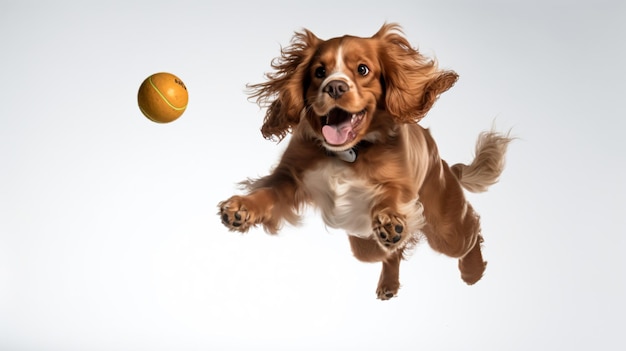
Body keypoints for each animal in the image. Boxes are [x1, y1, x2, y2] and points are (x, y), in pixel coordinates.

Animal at [217, 23, 510, 302]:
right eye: (319, 72)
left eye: (362, 69)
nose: (335, 86)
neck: (347, 154)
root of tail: (446, 164)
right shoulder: (290, 178)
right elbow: (268, 193)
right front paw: (242, 207)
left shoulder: (400, 186)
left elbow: (390, 197)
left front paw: (389, 219)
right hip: (365, 245)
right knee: (391, 252)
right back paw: (389, 282)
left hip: (446, 228)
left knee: (471, 232)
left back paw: (473, 271)